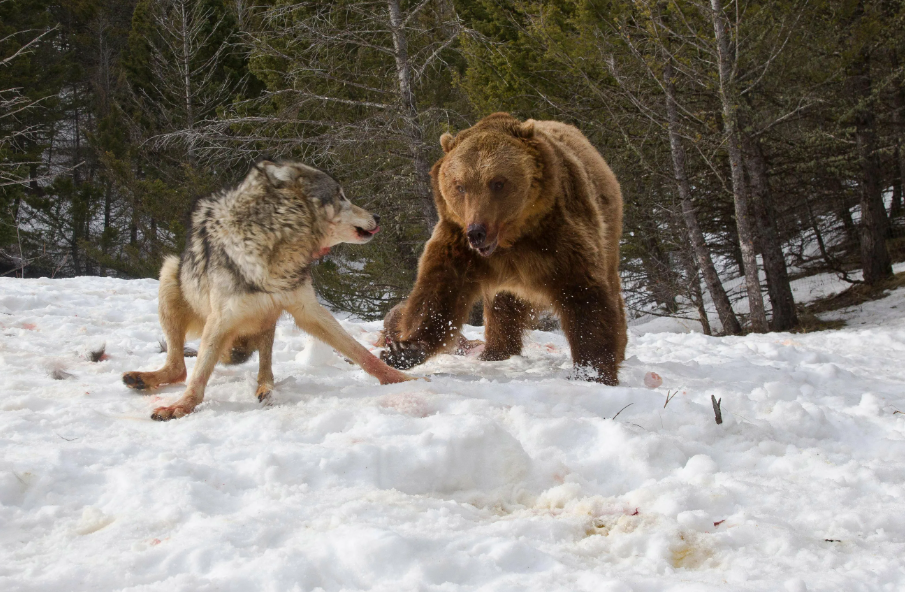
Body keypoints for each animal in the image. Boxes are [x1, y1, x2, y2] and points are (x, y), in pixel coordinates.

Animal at [378, 113, 624, 386]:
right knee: (502, 308)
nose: (477, 232)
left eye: (498, 182)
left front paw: (592, 372)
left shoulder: (559, 237)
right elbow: (438, 293)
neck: (510, 240)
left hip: (607, 228)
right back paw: (496, 351)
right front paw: (404, 349)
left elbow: (584, 296)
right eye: (460, 185)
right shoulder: (458, 243)